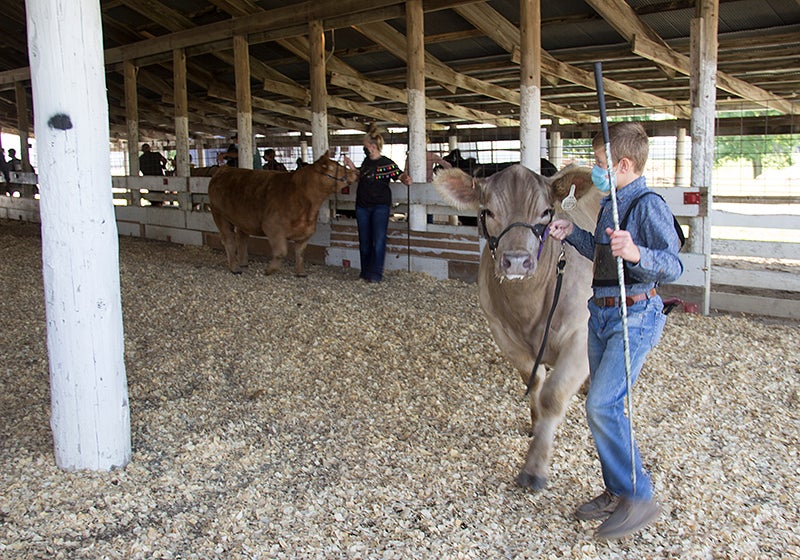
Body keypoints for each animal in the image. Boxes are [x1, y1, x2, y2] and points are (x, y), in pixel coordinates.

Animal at [209, 151, 356, 276]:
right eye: (334, 167)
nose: (355, 172)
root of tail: (223, 169)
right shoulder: (272, 227)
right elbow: (281, 252)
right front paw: (270, 270)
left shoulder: (306, 231)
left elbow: (300, 253)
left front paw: (300, 272)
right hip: (219, 214)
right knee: (228, 239)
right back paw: (235, 267)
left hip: (242, 219)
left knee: (241, 237)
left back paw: (243, 262)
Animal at [438, 163, 600, 490]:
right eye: (487, 211)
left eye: (546, 212)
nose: (516, 261)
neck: (529, 308)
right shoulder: (503, 334)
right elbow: (534, 380)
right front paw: (535, 426)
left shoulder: (580, 333)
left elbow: (553, 395)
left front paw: (535, 467)